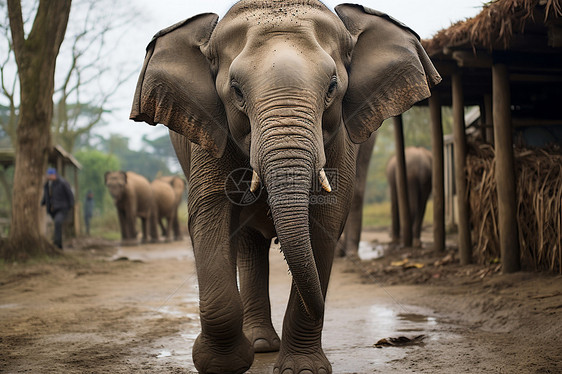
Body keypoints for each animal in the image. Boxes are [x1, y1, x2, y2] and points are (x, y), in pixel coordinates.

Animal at [128, 1, 438, 372]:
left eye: (332, 87)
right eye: (236, 91)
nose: (391, 341)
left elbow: (326, 220)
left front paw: (302, 369)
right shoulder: (209, 132)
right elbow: (210, 213)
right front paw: (222, 365)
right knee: (247, 241)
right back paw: (260, 345)